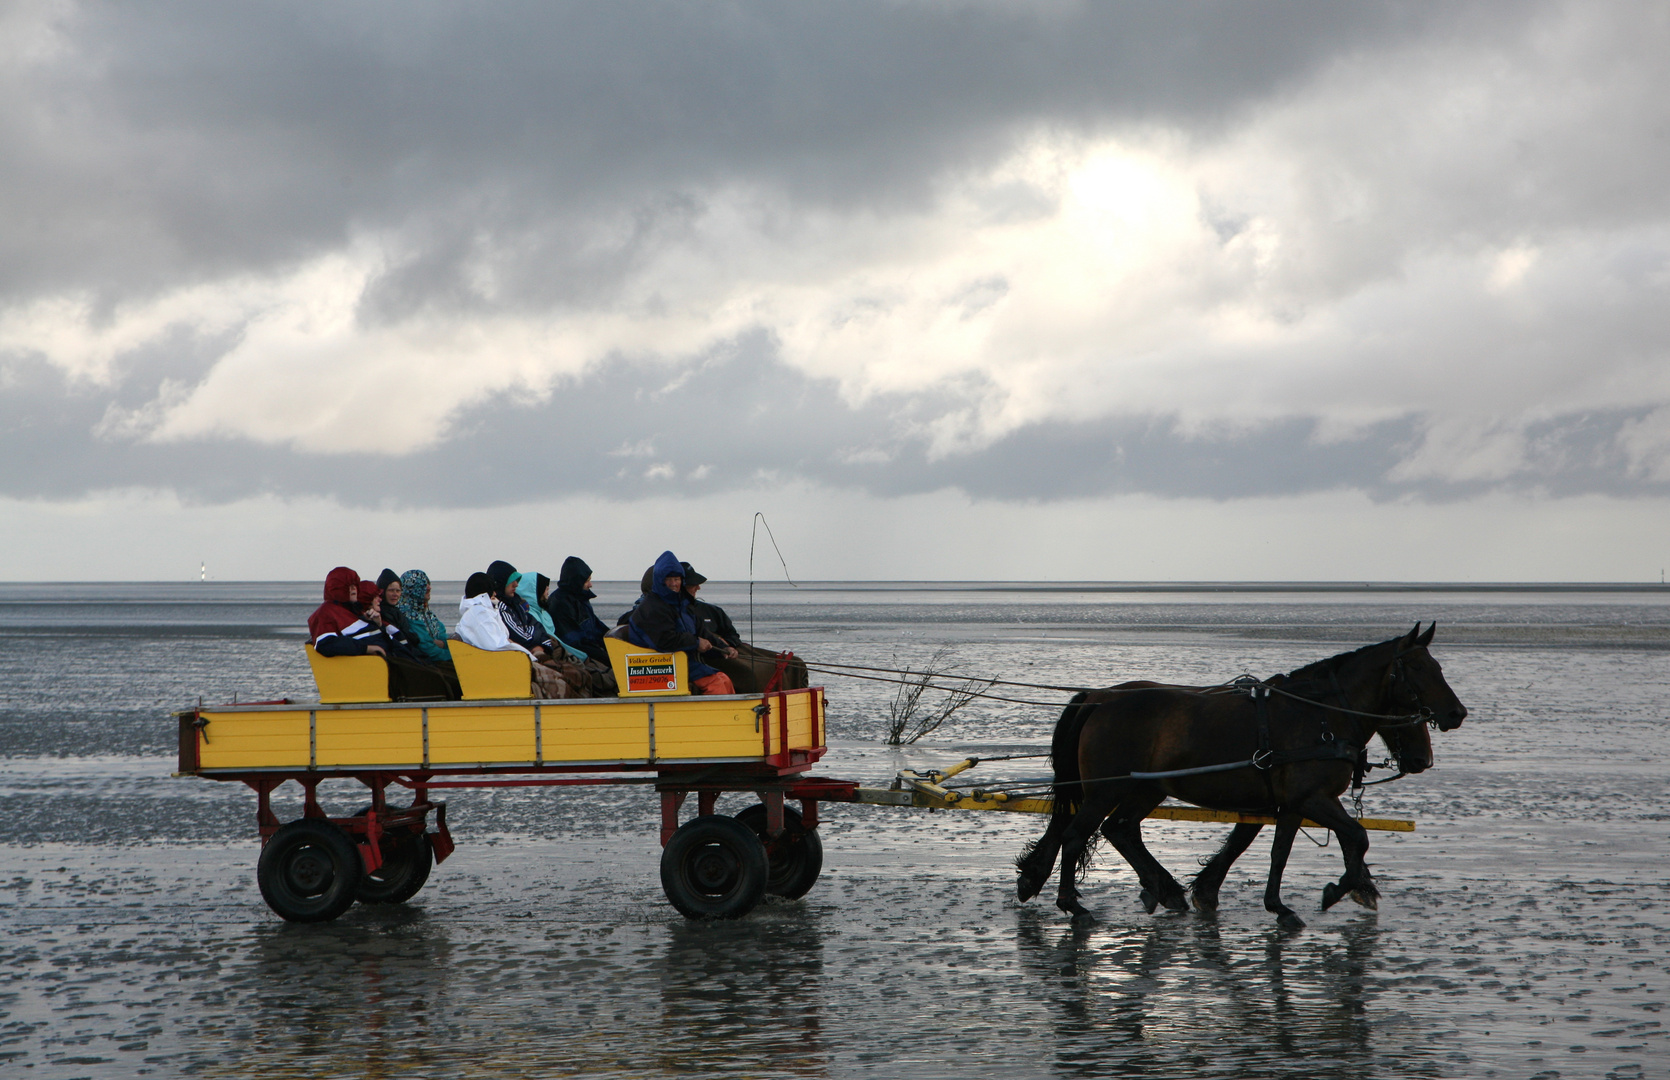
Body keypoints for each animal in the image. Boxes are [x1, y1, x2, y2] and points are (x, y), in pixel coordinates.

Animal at [1008, 624, 1469, 928]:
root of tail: (1099, 698)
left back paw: (1163, 890)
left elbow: (1278, 850)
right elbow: (1356, 836)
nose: (1456, 714)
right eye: (1420, 669)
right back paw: (1074, 905)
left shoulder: (1291, 803)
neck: (1319, 715)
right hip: (1105, 790)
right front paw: (1336, 890)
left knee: (1119, 830)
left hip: (1145, 789)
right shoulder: (1312, 799)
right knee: (1076, 835)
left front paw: (1285, 903)